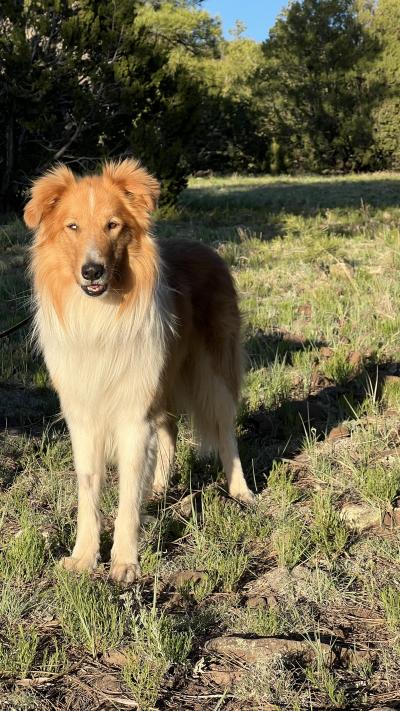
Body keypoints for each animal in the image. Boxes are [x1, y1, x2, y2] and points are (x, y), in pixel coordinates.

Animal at [25, 161, 255, 584]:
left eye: (113, 225)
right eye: (72, 226)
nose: (92, 271)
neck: (99, 318)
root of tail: (205, 247)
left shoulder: (133, 415)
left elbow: (129, 494)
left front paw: (125, 561)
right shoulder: (85, 418)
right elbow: (89, 491)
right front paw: (84, 557)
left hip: (212, 373)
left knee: (225, 430)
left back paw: (240, 490)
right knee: (169, 430)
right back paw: (161, 486)